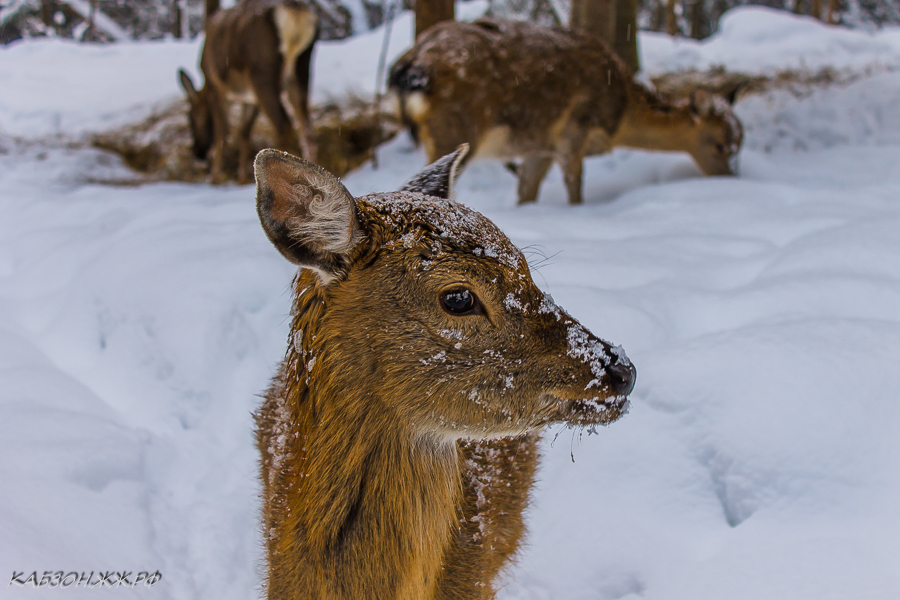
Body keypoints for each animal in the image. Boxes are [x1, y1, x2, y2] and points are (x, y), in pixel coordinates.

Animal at [176, 0, 316, 183]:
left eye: (190, 117)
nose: (197, 152)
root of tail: (295, 12)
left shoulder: (216, 87)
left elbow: (223, 132)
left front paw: (216, 178)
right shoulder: (249, 98)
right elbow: (244, 132)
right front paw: (241, 178)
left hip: (262, 73)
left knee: (283, 125)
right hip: (301, 71)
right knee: (306, 128)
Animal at [388, 17, 744, 205]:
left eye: (739, 143)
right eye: (719, 144)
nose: (730, 179)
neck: (621, 117)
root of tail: (411, 68)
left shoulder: (539, 146)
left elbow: (526, 191)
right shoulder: (576, 129)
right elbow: (574, 185)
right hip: (454, 128)